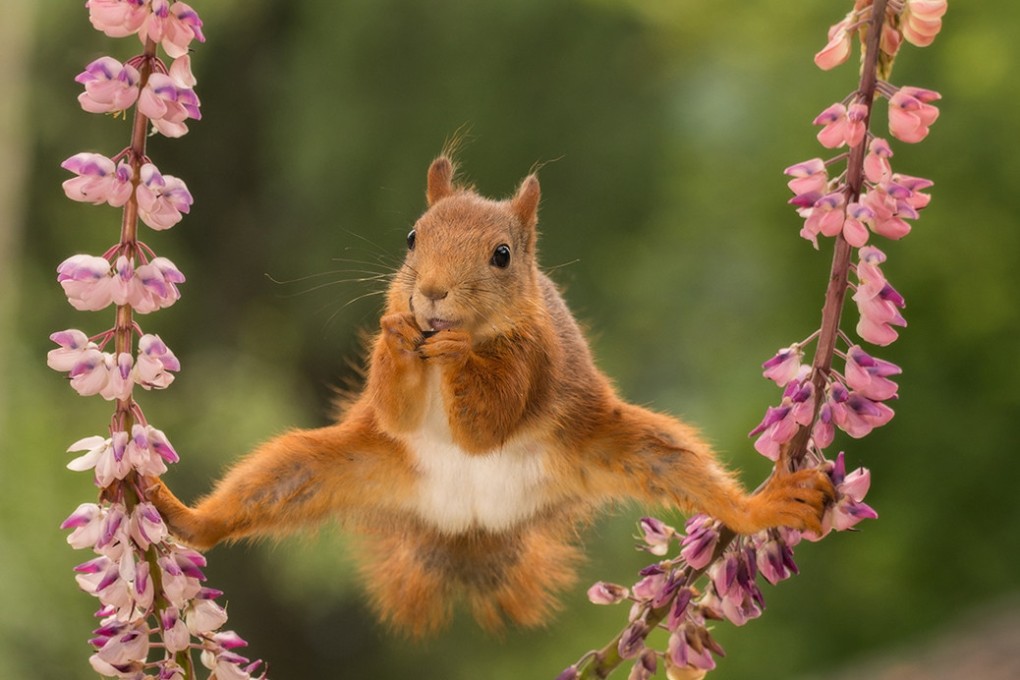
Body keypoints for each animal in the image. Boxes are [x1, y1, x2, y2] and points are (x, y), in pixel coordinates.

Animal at [149, 155, 834, 637]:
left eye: (502, 255)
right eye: (411, 237)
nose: (430, 294)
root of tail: (470, 526)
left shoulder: (534, 361)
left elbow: (488, 423)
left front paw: (456, 355)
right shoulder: (394, 399)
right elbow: (396, 408)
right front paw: (399, 335)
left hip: (621, 446)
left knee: (687, 472)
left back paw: (765, 505)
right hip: (333, 465)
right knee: (259, 490)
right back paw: (179, 513)